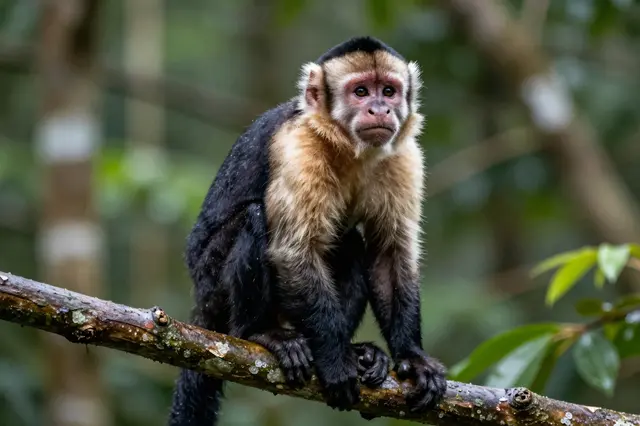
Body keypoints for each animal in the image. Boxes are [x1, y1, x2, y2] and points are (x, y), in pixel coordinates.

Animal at [168, 36, 447, 426]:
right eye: (361, 91)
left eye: (389, 91)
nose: (379, 109)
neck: (349, 147)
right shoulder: (297, 148)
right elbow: (294, 252)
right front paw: (334, 360)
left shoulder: (404, 157)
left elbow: (390, 255)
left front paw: (412, 357)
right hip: (211, 286)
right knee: (254, 218)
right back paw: (262, 333)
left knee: (350, 243)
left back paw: (358, 351)